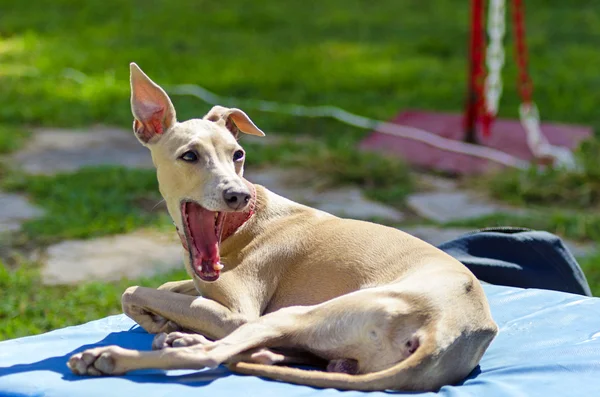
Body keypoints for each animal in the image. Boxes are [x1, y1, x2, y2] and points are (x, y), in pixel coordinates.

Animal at [67, 63, 496, 392]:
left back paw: (110, 356)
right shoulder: (207, 283)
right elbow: (168, 287)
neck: (241, 224)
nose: (238, 195)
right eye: (190, 156)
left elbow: (134, 290)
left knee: (208, 355)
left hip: (295, 314)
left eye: (238, 155)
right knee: (267, 353)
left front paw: (159, 318)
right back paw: (185, 335)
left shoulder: (239, 312)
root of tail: (446, 332)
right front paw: (165, 318)